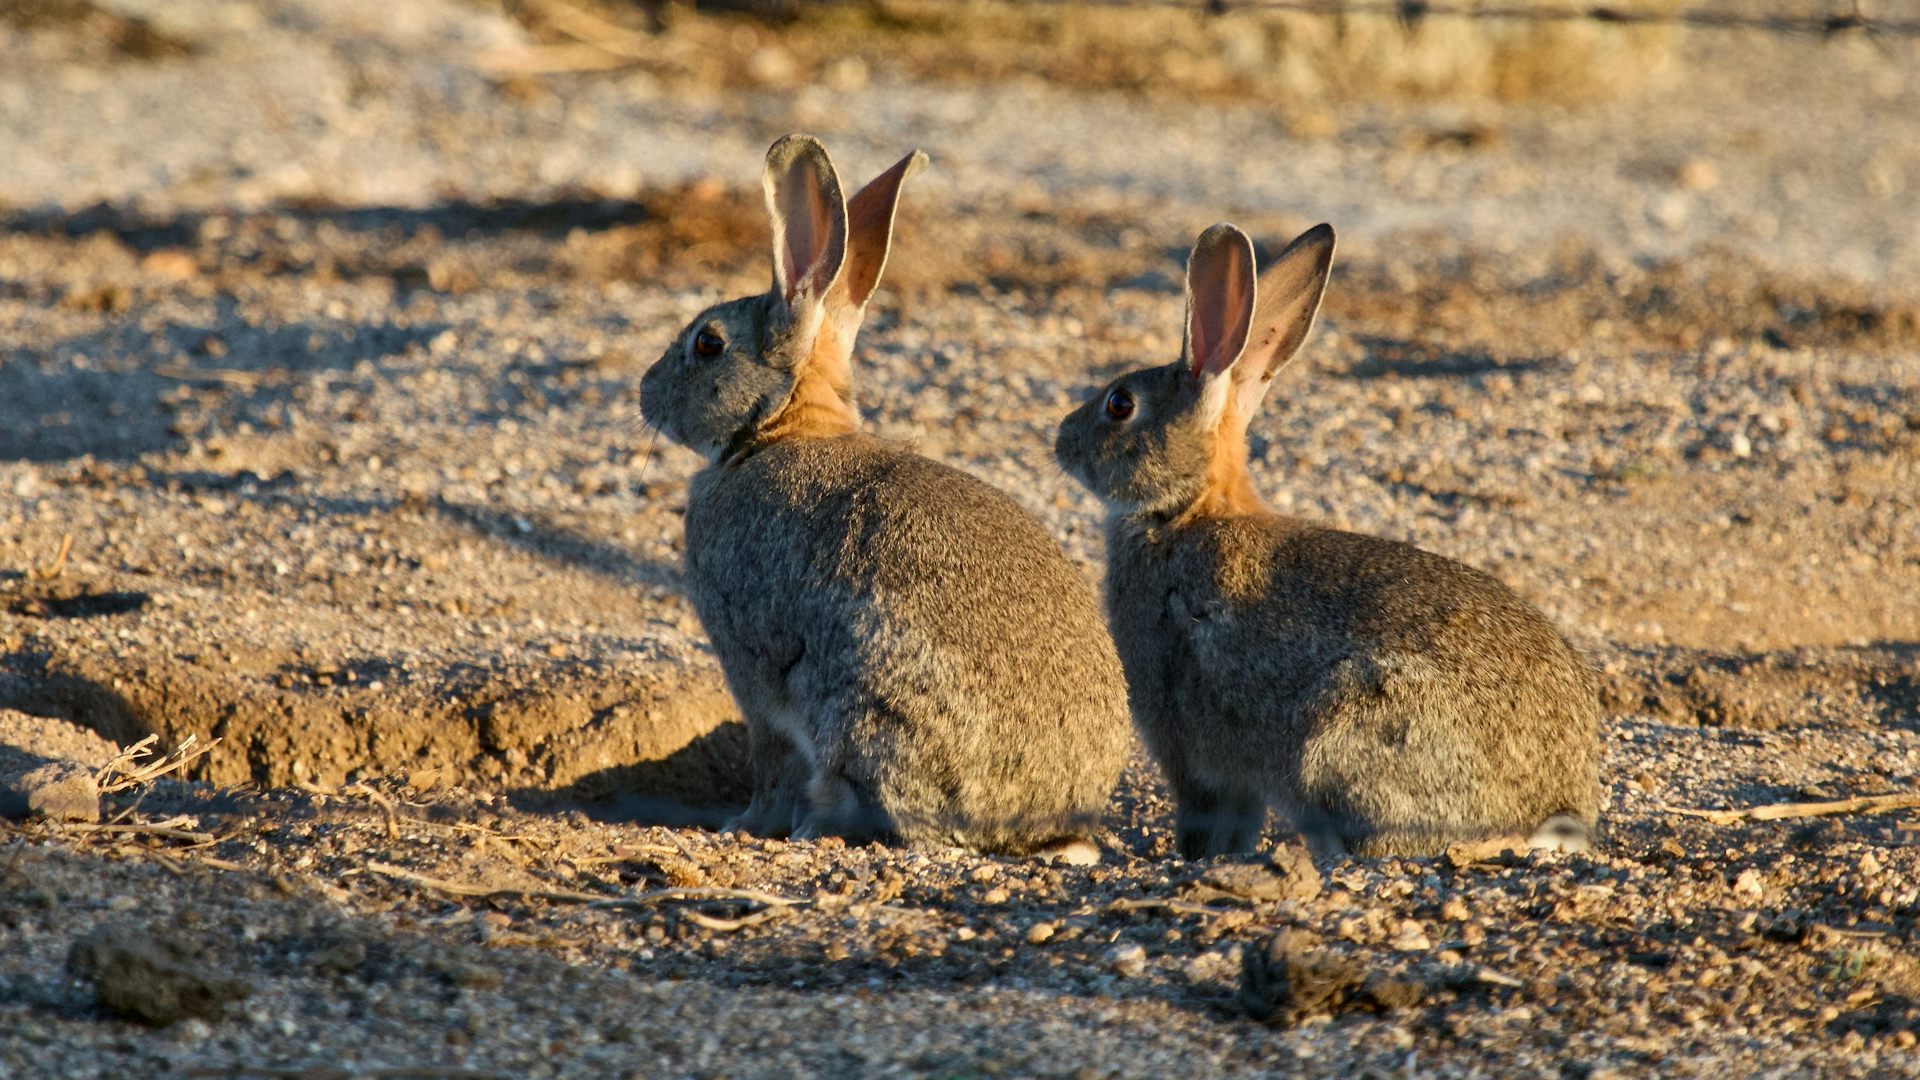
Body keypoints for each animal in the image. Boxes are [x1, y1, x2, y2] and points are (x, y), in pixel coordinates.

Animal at [639, 135, 1132, 861]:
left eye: (708, 343)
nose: (645, 392)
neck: (783, 427)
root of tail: (1046, 822)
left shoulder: (754, 675)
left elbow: (771, 761)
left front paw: (745, 823)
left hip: (866, 702)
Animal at [1054, 221, 1601, 860]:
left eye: (1120, 404)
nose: (1062, 439)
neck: (1187, 510)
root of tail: (1556, 812)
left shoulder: (1189, 749)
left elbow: (1208, 819)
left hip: (1346, 734)